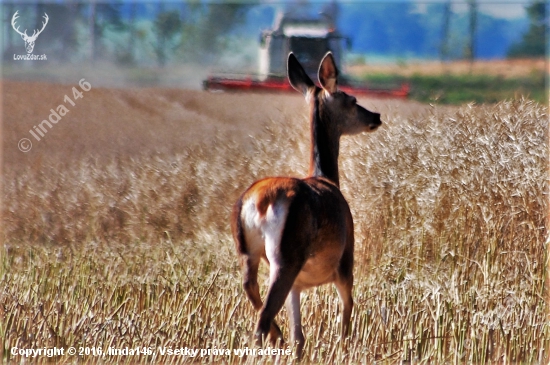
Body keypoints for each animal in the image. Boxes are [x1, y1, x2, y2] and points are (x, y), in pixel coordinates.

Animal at [231, 52, 382, 356]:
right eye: (351, 100)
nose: (376, 116)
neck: (328, 179)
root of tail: (258, 203)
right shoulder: (346, 259)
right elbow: (346, 318)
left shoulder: (298, 286)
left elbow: (300, 337)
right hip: (287, 255)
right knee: (262, 319)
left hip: (248, 251)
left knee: (253, 294)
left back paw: (278, 336)